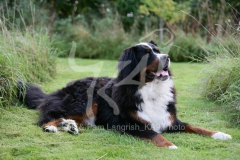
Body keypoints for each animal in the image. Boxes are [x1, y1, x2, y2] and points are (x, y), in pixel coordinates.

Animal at [19, 40, 232, 148]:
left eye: (158, 51)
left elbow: (196, 127)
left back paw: (69, 126)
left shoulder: (170, 119)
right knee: (46, 119)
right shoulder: (129, 123)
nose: (168, 57)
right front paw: (171, 145)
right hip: (83, 101)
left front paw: (220, 134)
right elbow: (154, 134)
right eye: (147, 54)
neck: (150, 89)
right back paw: (53, 127)